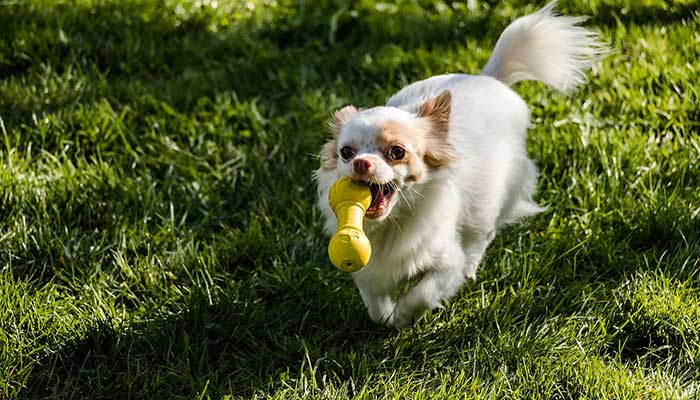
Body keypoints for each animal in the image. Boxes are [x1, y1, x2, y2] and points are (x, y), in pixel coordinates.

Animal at [314, 1, 604, 330]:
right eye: (346, 152)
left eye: (397, 152)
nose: (361, 163)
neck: (392, 224)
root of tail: (490, 77)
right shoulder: (369, 269)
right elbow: (373, 302)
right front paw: (386, 316)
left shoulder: (445, 263)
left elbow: (422, 293)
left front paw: (402, 317)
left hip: (490, 203)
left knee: (482, 236)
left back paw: (470, 268)